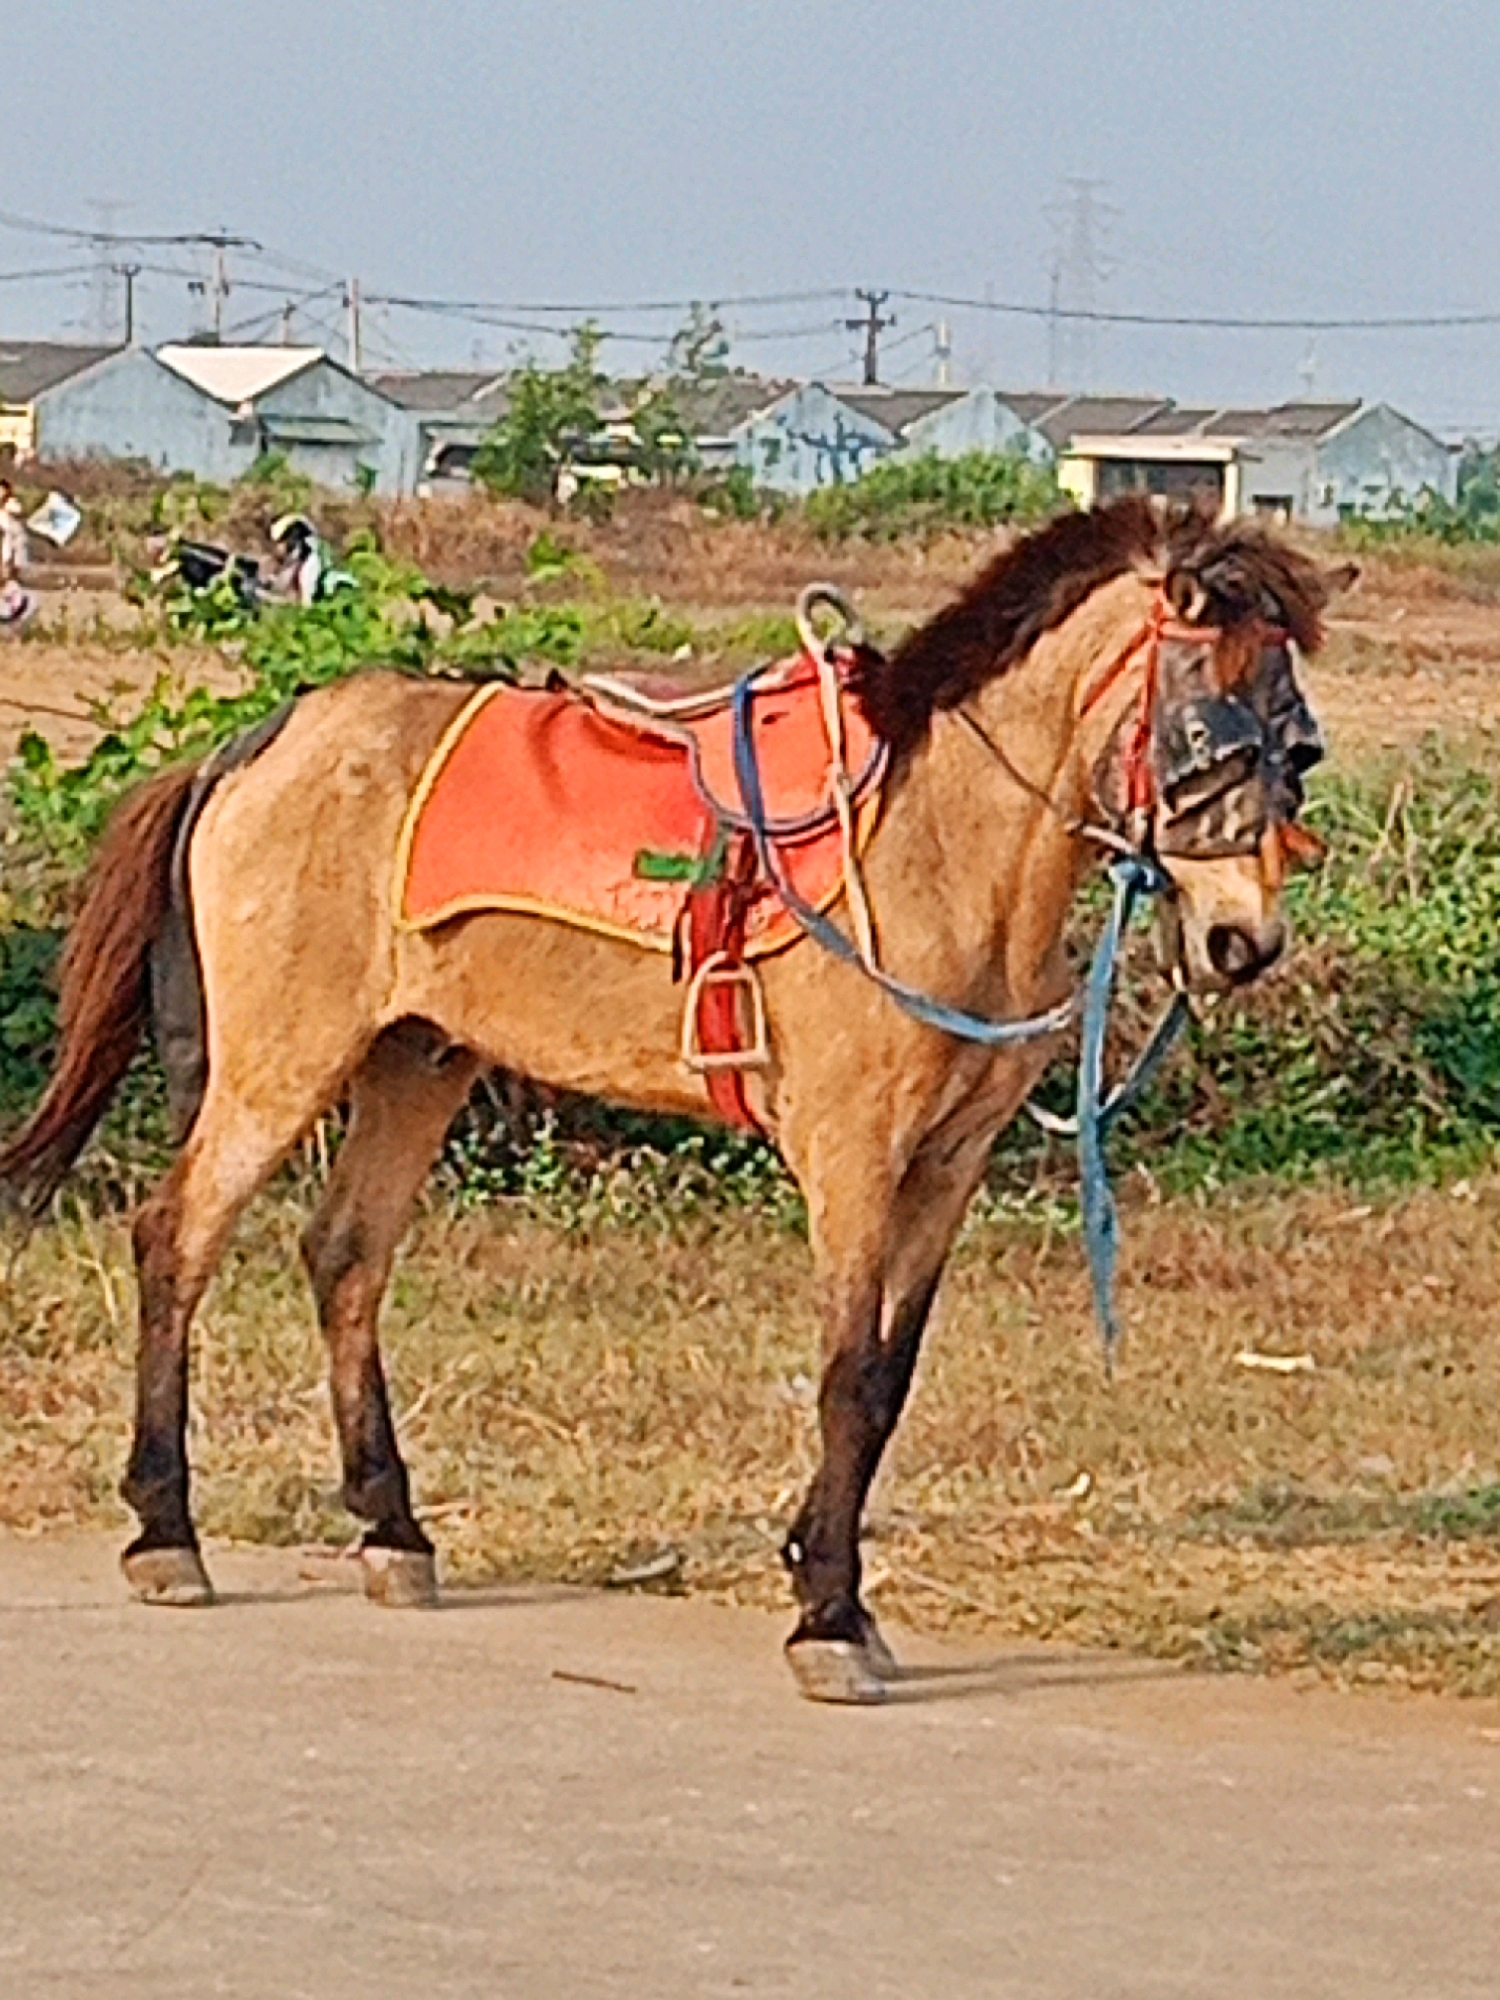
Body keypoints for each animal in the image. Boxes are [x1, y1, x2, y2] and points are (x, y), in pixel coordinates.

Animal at [0, 496, 1350, 1703]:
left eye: (1299, 747)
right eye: (1212, 733)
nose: (1241, 940)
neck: (934, 846)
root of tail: (258, 743)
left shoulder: (947, 1165)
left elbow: (889, 1379)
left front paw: (825, 1569)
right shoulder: (853, 1155)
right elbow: (847, 1373)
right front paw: (828, 1614)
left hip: (415, 1058)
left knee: (344, 1255)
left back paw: (394, 1528)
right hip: (283, 1057)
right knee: (179, 1237)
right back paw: (165, 1527)